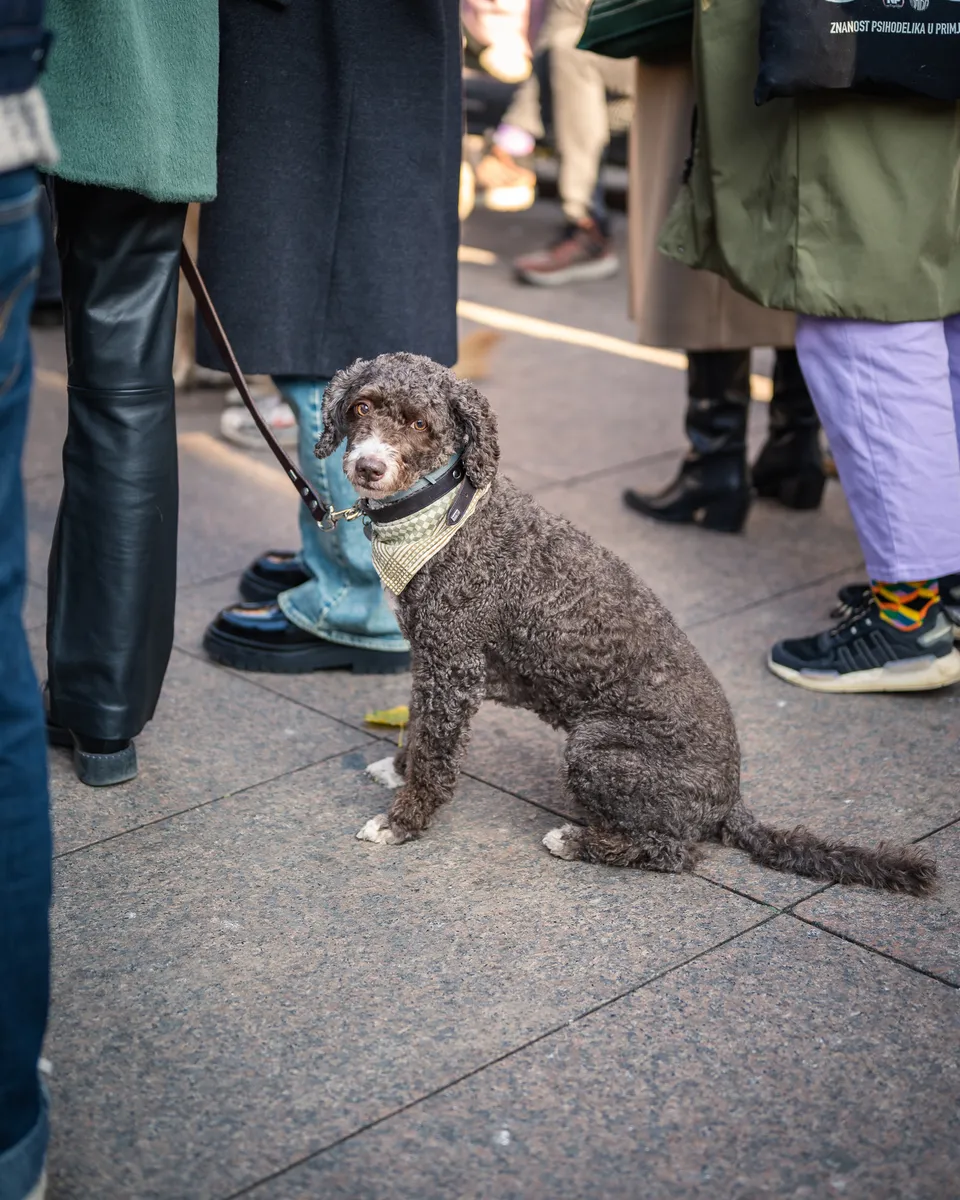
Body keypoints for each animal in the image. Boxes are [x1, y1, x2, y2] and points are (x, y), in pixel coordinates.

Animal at [319, 350, 936, 897]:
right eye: (362, 407)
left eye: (420, 423)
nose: (368, 466)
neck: (436, 514)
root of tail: (730, 801)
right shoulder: (431, 662)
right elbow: (420, 728)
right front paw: (397, 769)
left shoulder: (454, 670)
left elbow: (436, 753)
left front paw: (402, 822)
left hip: (596, 750)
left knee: (674, 852)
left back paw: (578, 841)